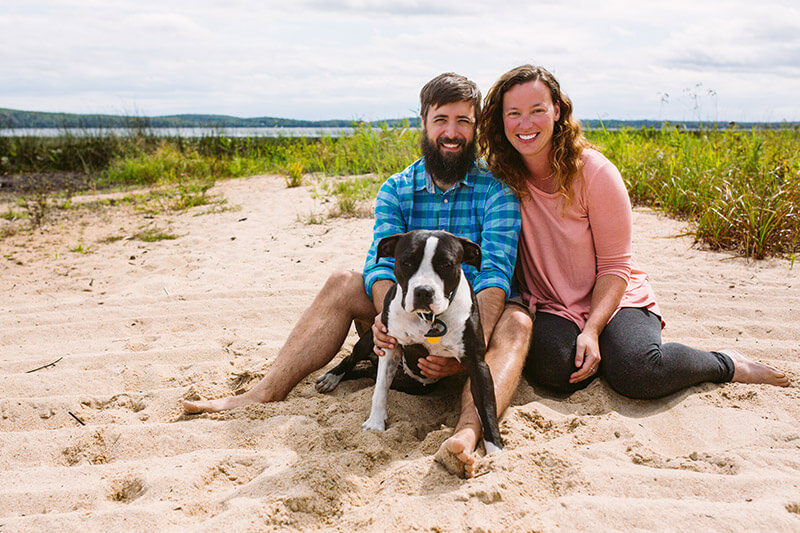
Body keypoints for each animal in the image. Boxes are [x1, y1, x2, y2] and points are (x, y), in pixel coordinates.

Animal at [316, 229, 504, 454]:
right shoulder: (388, 346)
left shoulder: (477, 364)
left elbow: (487, 408)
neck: (428, 319)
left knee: (367, 372)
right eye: (406, 262)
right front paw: (375, 423)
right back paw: (331, 378)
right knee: (352, 360)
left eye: (446, 264)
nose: (423, 291)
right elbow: (380, 389)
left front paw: (495, 451)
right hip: (369, 341)